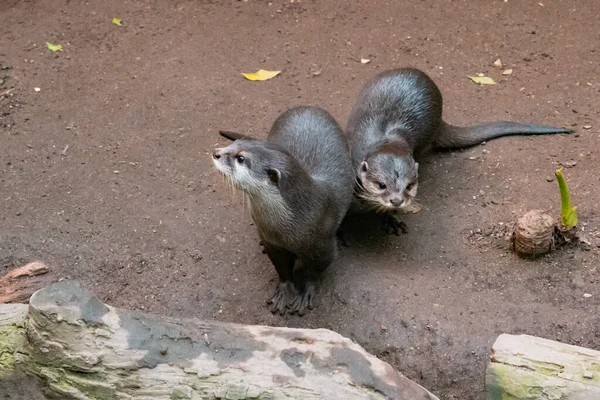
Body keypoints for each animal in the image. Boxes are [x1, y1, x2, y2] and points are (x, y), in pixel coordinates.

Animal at [212, 105, 354, 316]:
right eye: (235, 144)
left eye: (241, 158)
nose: (216, 153)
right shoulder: (272, 241)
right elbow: (281, 267)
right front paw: (285, 290)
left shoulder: (323, 246)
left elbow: (315, 271)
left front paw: (305, 293)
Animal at [346, 67, 572, 233]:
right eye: (381, 185)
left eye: (409, 186)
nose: (396, 200)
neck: (385, 135)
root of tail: (440, 122)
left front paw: (390, 218)